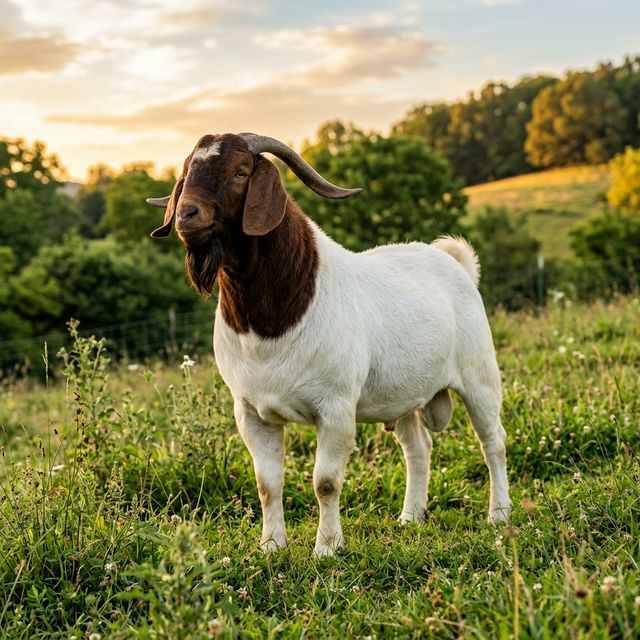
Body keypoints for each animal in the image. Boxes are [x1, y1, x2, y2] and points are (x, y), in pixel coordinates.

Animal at [148, 133, 511, 557]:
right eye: (189, 169)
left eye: (240, 172)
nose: (186, 216)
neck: (272, 322)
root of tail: (457, 264)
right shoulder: (250, 412)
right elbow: (267, 484)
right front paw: (271, 546)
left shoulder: (335, 409)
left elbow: (325, 481)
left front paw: (326, 548)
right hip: (404, 396)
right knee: (418, 447)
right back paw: (410, 517)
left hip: (480, 378)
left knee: (493, 441)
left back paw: (499, 514)